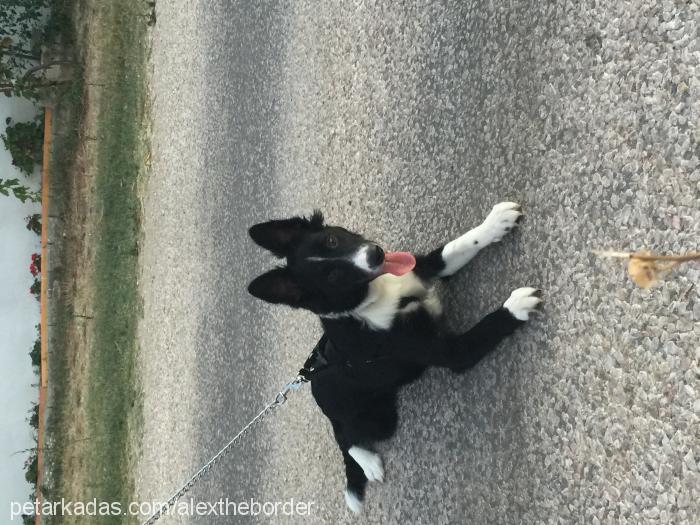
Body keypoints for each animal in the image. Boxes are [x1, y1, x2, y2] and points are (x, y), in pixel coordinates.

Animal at [249, 203, 544, 512]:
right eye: (333, 276)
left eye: (331, 240)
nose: (375, 254)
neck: (374, 300)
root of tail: (312, 385)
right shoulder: (450, 352)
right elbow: (484, 329)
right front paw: (516, 306)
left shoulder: (421, 267)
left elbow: (456, 247)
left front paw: (495, 223)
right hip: (377, 419)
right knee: (345, 438)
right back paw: (367, 463)